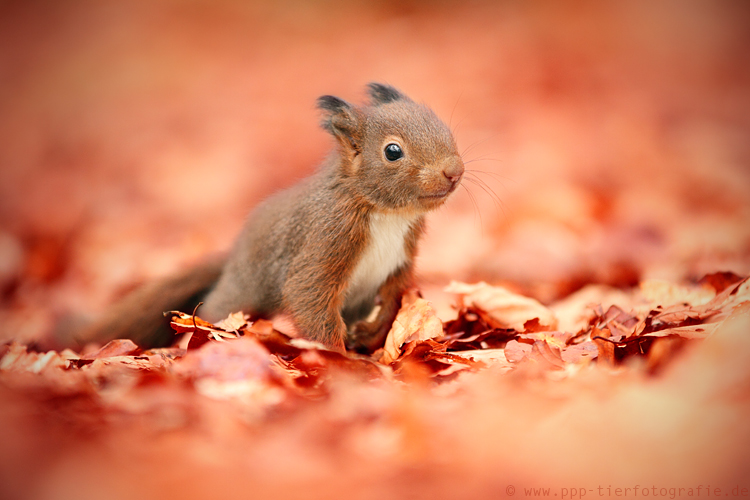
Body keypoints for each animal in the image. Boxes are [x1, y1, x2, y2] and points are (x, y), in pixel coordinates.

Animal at [76, 83, 464, 352]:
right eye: (392, 151)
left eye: (444, 128)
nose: (454, 171)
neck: (388, 214)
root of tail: (231, 262)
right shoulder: (327, 237)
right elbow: (308, 296)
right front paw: (342, 362)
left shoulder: (401, 257)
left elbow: (395, 299)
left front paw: (369, 334)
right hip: (237, 297)